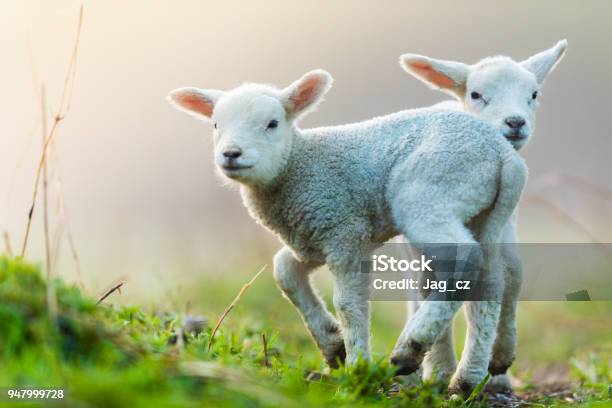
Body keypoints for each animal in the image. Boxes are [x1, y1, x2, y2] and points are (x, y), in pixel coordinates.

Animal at [167, 70, 524, 396]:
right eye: (216, 125)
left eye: (272, 124)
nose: (231, 154)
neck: (297, 165)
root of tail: (504, 155)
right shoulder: (310, 236)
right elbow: (285, 271)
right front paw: (332, 345)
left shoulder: (343, 230)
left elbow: (348, 304)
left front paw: (357, 369)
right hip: (482, 213)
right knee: (490, 282)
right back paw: (469, 377)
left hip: (432, 194)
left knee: (465, 259)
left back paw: (412, 347)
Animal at [400, 40, 568, 392]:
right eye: (476, 94)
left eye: (534, 94)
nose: (516, 122)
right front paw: (439, 369)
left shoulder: (506, 239)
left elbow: (511, 283)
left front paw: (499, 360)